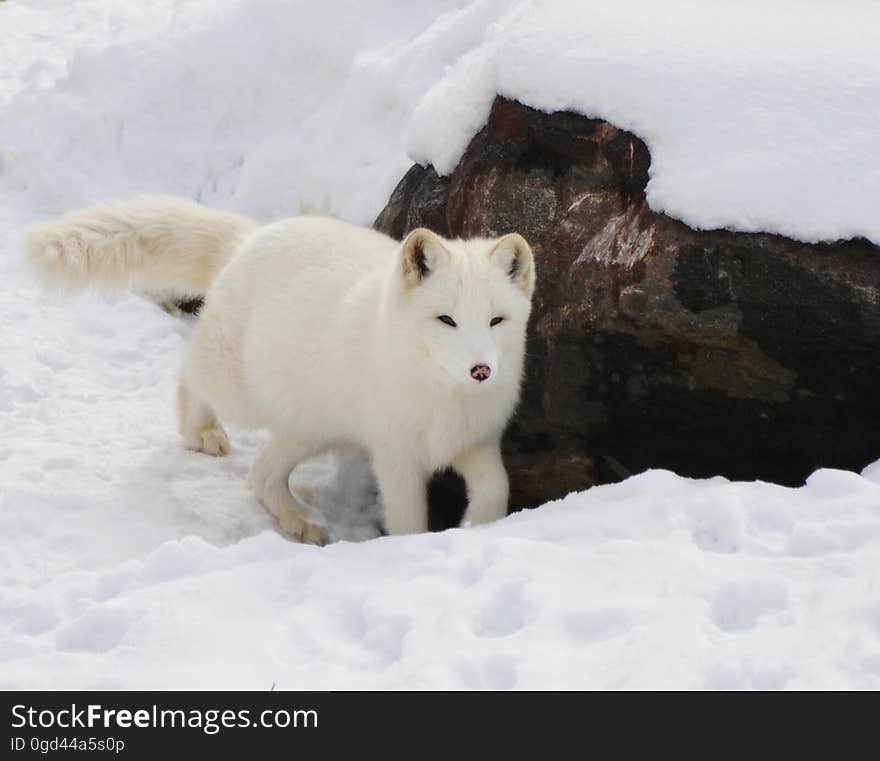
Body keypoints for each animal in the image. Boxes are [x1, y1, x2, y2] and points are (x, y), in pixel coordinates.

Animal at [24, 196, 536, 540]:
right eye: (446, 319)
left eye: (496, 320)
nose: (481, 370)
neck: (443, 398)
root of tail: (250, 238)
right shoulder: (396, 457)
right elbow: (408, 522)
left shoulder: (477, 443)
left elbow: (496, 490)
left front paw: (478, 528)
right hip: (244, 395)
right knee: (190, 374)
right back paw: (201, 432)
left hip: (310, 427)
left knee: (261, 476)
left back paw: (298, 522)